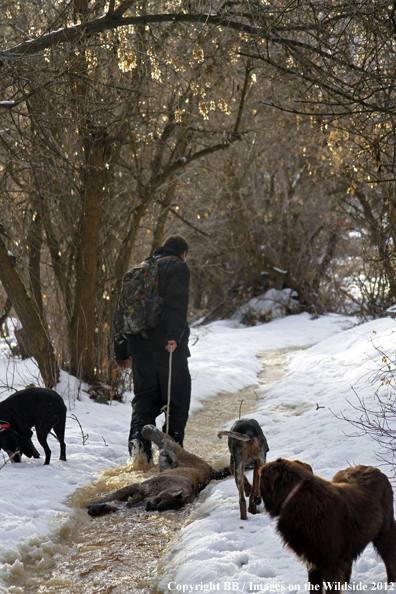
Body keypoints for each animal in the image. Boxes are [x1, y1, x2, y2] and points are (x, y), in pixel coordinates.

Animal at [258, 458, 396, 588]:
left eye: (259, 478)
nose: (256, 498)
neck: (296, 497)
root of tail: (375, 469)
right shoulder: (313, 564)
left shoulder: (331, 564)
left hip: (384, 534)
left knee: (389, 561)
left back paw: (391, 584)